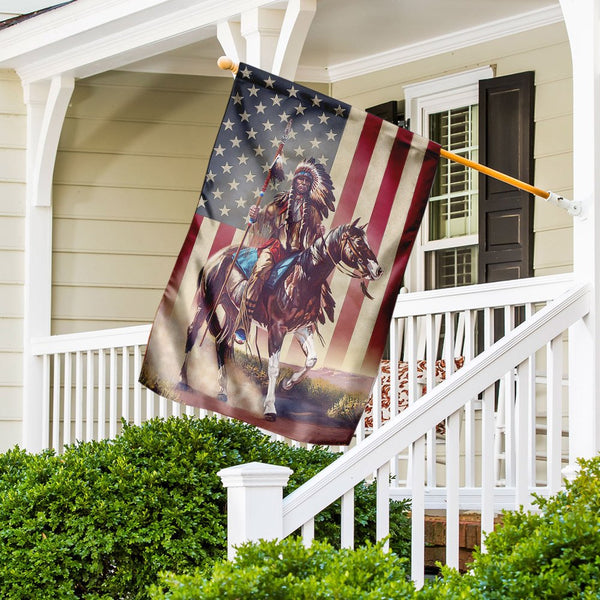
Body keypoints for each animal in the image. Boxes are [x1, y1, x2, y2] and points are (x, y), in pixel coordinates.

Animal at [180, 220, 382, 422]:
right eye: (358, 241)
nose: (378, 270)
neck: (302, 279)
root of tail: (215, 258)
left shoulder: (302, 329)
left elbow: (312, 360)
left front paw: (287, 383)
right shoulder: (277, 329)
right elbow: (273, 368)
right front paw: (270, 408)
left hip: (232, 312)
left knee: (222, 342)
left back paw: (223, 390)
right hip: (204, 303)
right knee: (193, 331)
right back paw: (183, 380)